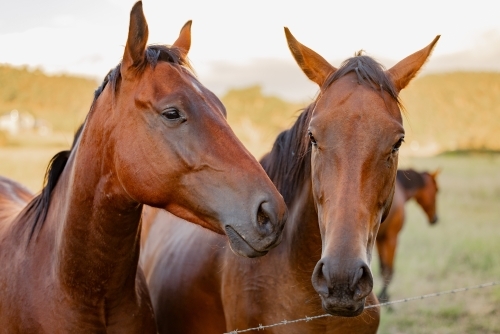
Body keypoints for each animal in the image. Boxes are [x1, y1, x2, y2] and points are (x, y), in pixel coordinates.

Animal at [376, 170, 440, 302]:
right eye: (437, 190)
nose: (436, 219)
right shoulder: (392, 238)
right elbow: (389, 271)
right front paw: (385, 299)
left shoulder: (380, 239)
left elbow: (382, 269)